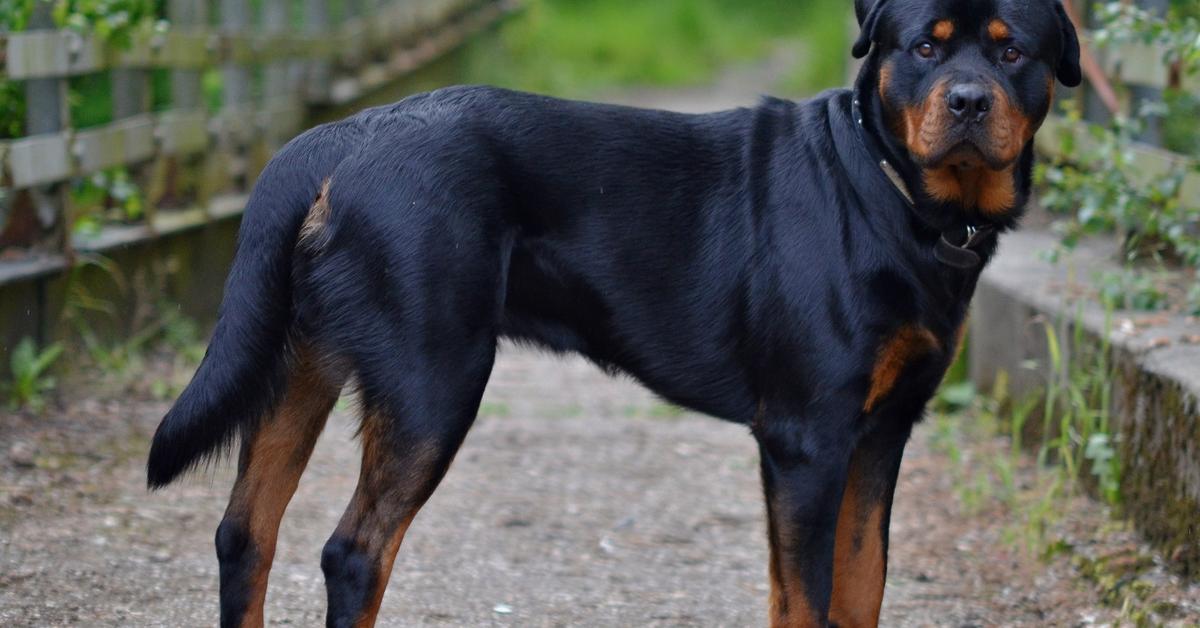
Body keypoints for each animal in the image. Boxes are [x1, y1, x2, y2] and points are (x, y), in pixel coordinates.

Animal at [145, 2, 1084, 624]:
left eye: (1013, 54)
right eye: (925, 47)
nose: (968, 101)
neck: (895, 196)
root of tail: (338, 138)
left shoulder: (882, 431)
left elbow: (861, 588)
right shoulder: (808, 438)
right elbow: (806, 600)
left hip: (301, 363)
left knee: (246, 533)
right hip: (432, 380)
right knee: (353, 553)